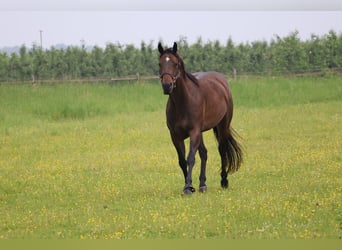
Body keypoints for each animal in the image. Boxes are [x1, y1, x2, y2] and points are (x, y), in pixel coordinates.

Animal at [158, 42, 243, 195]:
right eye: (160, 64)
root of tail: (222, 82)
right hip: (201, 133)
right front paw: (189, 186)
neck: (183, 103)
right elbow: (182, 160)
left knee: (222, 150)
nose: (167, 86)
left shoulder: (194, 132)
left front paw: (188, 187)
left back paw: (224, 180)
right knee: (204, 153)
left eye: (175, 64)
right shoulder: (175, 136)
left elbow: (190, 158)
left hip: (222, 126)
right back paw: (202, 184)